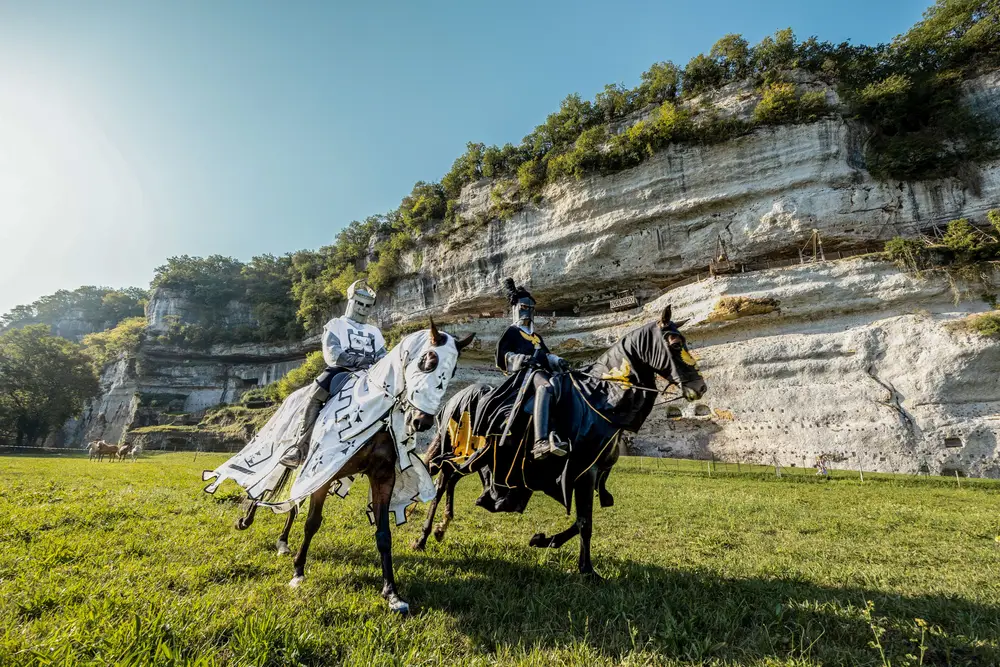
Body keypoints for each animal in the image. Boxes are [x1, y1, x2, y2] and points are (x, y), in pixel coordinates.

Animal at [205, 320, 474, 612]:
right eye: (428, 360)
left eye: (454, 369)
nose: (421, 421)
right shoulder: (322, 471)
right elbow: (312, 522)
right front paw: (298, 572)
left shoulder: (382, 477)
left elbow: (383, 534)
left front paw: (392, 593)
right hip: (287, 454)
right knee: (263, 485)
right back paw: (246, 520)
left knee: (292, 501)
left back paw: (283, 542)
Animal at [418, 306, 708, 580]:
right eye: (675, 343)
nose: (700, 387)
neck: (600, 400)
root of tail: (455, 399)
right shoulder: (584, 472)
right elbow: (585, 522)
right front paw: (587, 569)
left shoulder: (589, 473)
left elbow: (580, 522)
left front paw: (545, 541)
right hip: (460, 452)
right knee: (442, 481)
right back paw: (422, 538)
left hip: (475, 458)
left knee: (449, 478)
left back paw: (441, 529)